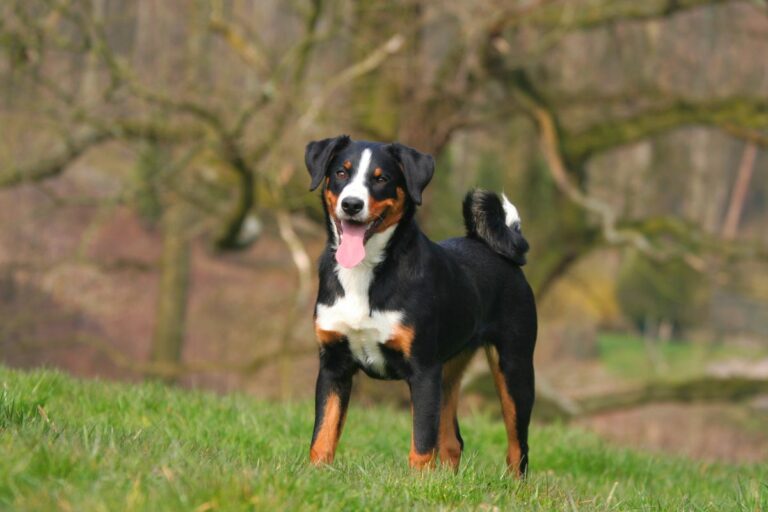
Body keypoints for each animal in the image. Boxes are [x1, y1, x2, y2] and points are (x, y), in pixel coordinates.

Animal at [304, 135, 536, 476]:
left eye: (381, 178)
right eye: (341, 173)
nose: (351, 204)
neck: (366, 272)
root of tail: (495, 248)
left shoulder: (423, 370)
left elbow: (422, 443)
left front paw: (417, 482)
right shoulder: (334, 364)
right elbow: (323, 432)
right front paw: (317, 476)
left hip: (514, 368)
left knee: (518, 448)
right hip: (449, 372)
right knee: (453, 441)